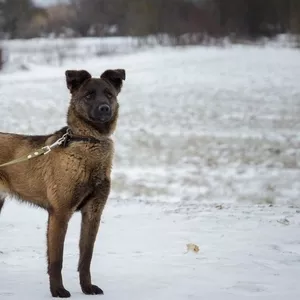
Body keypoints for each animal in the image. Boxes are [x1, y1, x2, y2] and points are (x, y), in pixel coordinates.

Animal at [0, 68, 125, 298]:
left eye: (109, 94)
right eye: (89, 95)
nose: (104, 108)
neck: (89, 142)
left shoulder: (93, 213)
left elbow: (86, 257)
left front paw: (87, 287)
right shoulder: (59, 213)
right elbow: (56, 260)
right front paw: (58, 290)